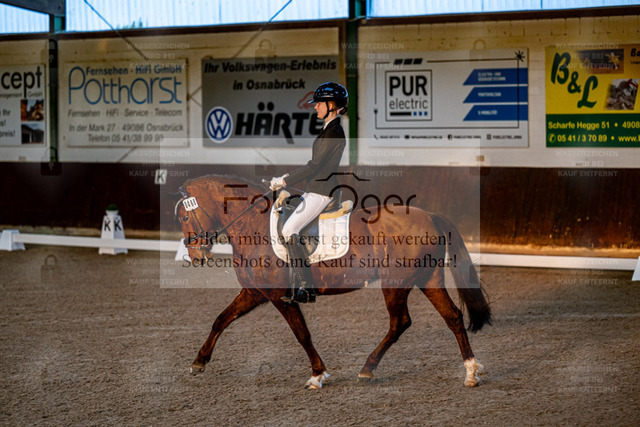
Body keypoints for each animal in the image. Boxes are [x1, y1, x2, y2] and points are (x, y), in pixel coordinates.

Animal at [175, 174, 492, 389]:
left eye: (184, 216)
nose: (197, 256)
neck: (253, 227)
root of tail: (432, 216)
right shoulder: (254, 292)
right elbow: (221, 319)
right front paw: (198, 362)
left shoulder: (279, 296)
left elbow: (302, 334)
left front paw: (317, 375)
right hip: (428, 278)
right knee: (452, 316)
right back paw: (471, 372)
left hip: (396, 282)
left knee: (400, 322)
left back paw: (368, 368)